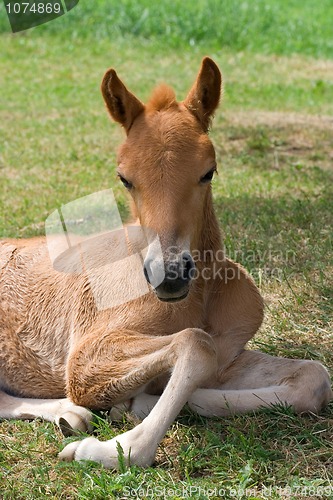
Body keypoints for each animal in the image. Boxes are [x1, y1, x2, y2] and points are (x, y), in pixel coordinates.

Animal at [0, 58, 330, 468]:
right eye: (124, 177)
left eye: (208, 171)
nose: (169, 275)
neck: (198, 299)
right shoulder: (86, 359)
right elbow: (195, 343)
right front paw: (113, 449)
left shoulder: (229, 358)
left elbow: (313, 377)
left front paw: (141, 403)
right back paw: (73, 414)